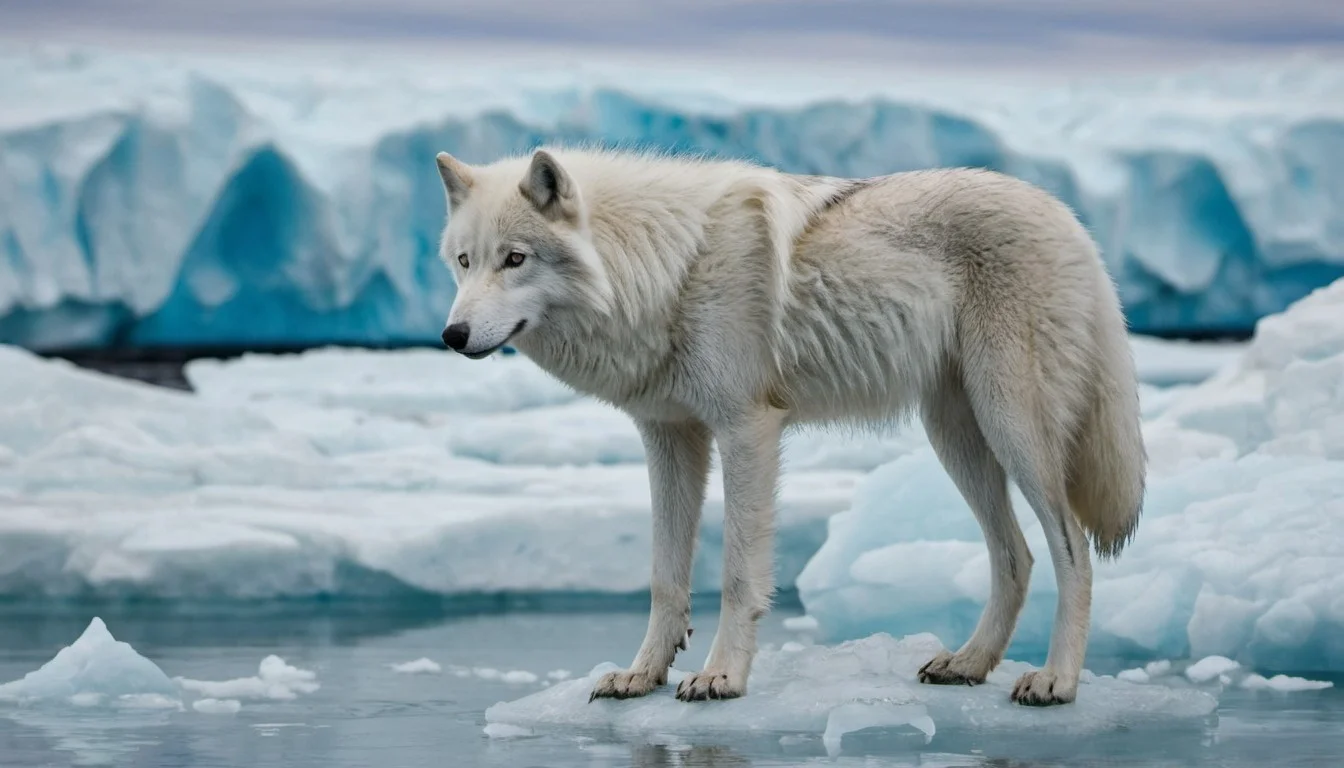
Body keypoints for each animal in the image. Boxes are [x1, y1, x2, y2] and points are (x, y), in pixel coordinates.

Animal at [432, 145, 1146, 707]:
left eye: (515, 258)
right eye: (464, 262)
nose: (452, 335)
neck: (665, 268)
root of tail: (1067, 217)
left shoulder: (746, 429)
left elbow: (737, 574)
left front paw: (720, 677)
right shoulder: (669, 437)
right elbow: (665, 577)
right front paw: (642, 676)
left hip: (1012, 427)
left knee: (1073, 551)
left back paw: (1055, 681)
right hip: (955, 438)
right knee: (1015, 555)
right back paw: (969, 664)